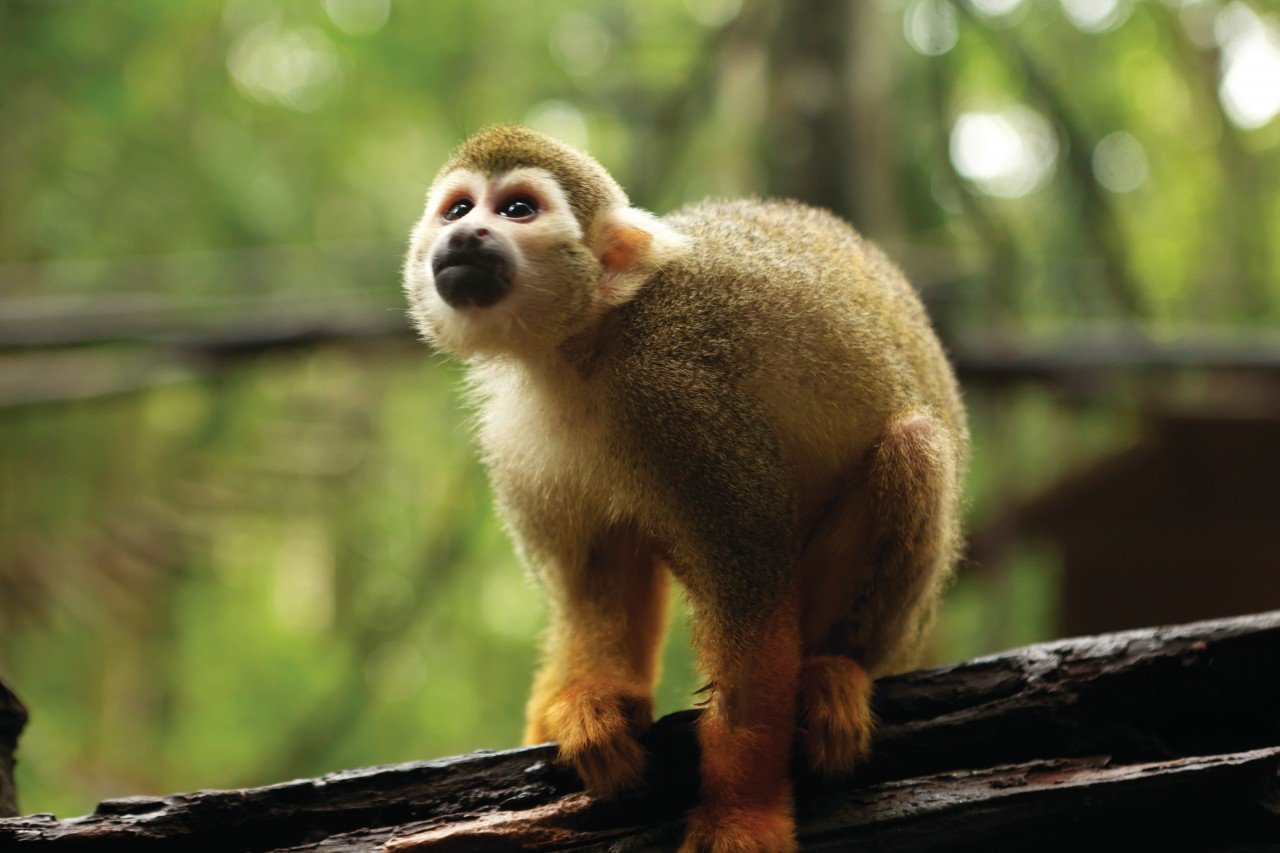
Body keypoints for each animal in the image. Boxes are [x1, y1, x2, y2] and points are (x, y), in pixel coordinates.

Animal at [404, 126, 962, 850]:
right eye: (458, 209)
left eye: (518, 209)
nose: (465, 235)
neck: (586, 344)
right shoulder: (513, 438)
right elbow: (595, 582)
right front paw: (596, 706)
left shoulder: (679, 397)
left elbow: (750, 597)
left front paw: (741, 815)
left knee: (914, 444)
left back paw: (837, 668)